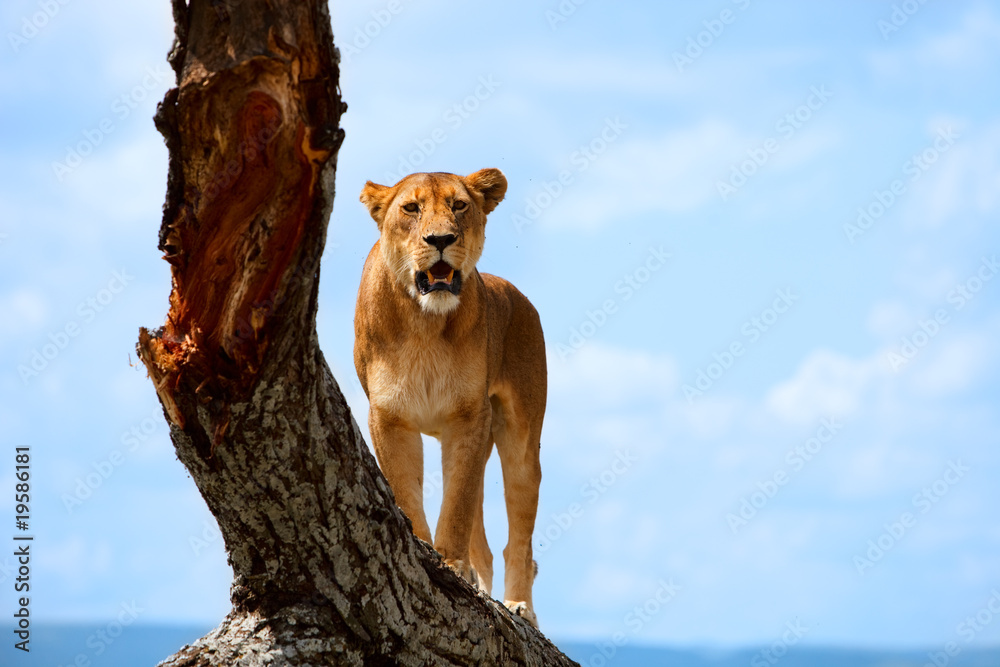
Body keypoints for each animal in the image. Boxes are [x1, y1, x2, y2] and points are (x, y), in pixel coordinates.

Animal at [353, 168, 546, 627]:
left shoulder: (468, 418)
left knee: (519, 541)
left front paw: (451, 565)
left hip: (519, 439)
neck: (424, 324)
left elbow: (456, 505)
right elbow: (407, 491)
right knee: (486, 547)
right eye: (411, 208)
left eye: (459, 205)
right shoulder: (389, 417)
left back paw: (518, 606)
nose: (440, 239)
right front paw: (424, 551)